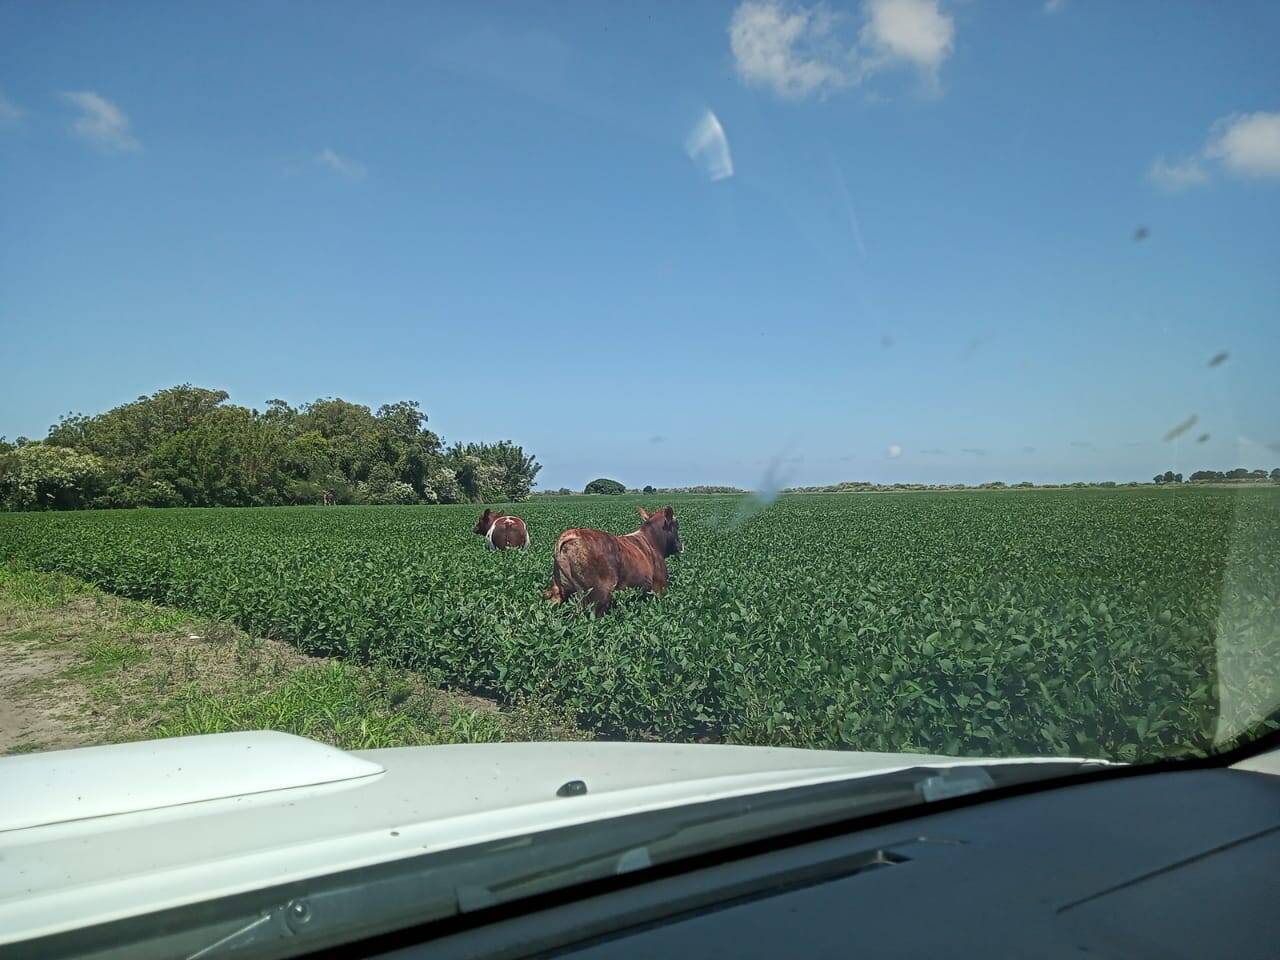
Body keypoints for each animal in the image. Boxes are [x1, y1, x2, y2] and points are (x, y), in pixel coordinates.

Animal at [540, 504, 680, 616]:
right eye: (677, 525)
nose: (680, 545)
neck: (652, 541)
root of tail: (572, 534)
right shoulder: (660, 587)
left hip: (559, 588)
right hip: (596, 595)